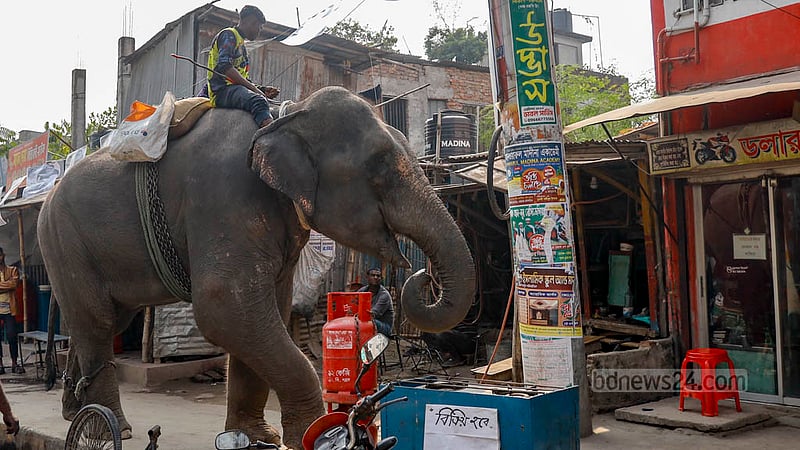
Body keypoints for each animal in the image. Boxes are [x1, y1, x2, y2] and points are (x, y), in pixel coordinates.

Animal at [37, 86, 476, 449]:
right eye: (380, 165)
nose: (422, 275)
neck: (285, 116)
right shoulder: (224, 196)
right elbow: (226, 308)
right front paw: (313, 434)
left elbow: (265, 311)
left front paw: (257, 436)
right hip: (62, 239)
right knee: (95, 319)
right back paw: (113, 428)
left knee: (105, 320)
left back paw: (74, 412)